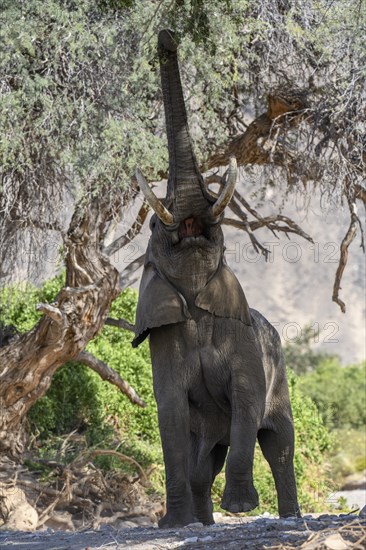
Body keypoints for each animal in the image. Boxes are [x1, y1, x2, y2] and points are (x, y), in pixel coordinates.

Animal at [132, 30, 300, 532]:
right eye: (154, 225)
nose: (167, 36)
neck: (194, 300)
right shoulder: (163, 344)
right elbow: (169, 413)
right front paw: (174, 525)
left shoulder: (243, 343)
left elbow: (246, 401)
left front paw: (241, 509)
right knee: (203, 462)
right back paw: (199, 525)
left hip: (280, 374)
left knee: (279, 447)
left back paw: (288, 517)